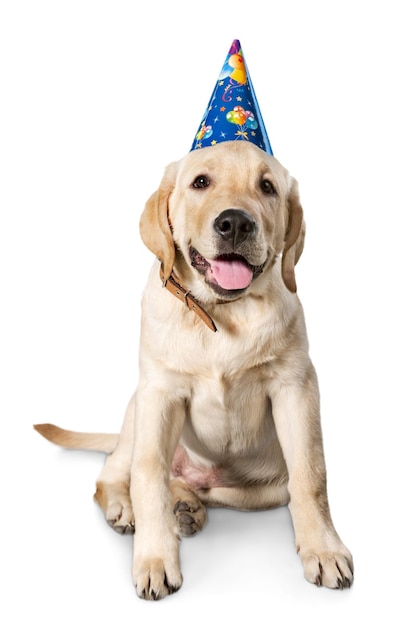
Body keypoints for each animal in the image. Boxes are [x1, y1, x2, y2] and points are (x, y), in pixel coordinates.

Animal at [35, 139, 354, 596]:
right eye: (200, 182)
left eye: (268, 187)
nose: (235, 223)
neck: (221, 311)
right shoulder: (159, 393)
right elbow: (147, 473)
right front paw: (154, 558)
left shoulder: (296, 386)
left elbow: (311, 474)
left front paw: (324, 550)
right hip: (135, 410)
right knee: (113, 474)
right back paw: (130, 507)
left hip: (263, 488)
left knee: (221, 490)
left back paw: (187, 504)